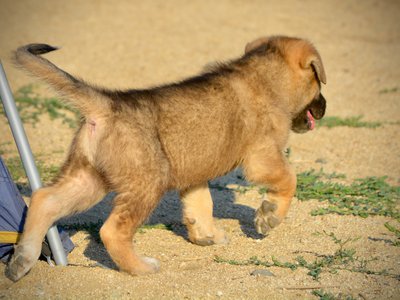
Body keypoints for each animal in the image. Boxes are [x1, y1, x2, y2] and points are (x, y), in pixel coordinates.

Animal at [5, 35, 324, 282]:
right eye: (319, 83)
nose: (324, 108)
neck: (265, 78)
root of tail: (107, 104)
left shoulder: (194, 176)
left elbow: (201, 206)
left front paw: (206, 236)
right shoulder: (262, 157)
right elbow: (289, 179)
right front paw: (269, 216)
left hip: (89, 179)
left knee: (44, 200)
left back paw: (21, 261)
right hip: (146, 183)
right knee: (112, 232)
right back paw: (141, 268)